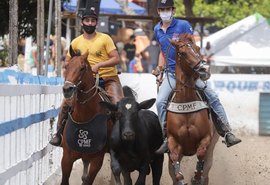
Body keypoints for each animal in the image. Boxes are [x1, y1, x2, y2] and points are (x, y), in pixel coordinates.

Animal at [59, 49, 112, 184]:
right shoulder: (66, 159)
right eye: (66, 66)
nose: (67, 89)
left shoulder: (97, 160)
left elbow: (88, 180)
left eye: (82, 68)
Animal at [167, 33, 219, 185]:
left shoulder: (206, 138)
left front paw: (196, 178)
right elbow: (175, 163)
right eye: (183, 53)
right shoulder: (172, 141)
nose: (205, 69)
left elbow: (201, 153)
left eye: (197, 48)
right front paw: (182, 179)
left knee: (206, 170)